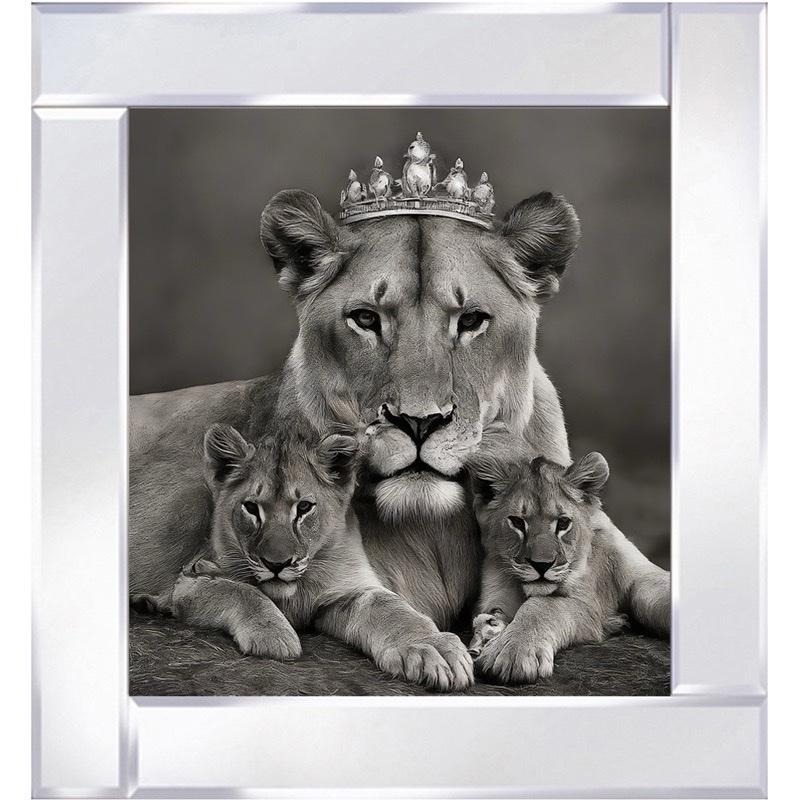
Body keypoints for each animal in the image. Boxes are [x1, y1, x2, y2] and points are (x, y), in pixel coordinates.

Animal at [133, 421, 473, 691]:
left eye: (305, 508)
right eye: (251, 508)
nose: (277, 564)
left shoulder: (349, 590)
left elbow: (392, 610)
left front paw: (434, 649)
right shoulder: (192, 581)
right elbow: (242, 591)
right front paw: (275, 637)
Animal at [466, 448, 670, 683]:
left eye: (563, 523)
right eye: (517, 522)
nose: (541, 565)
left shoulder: (589, 604)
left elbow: (543, 606)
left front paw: (513, 651)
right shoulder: (495, 594)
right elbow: (495, 612)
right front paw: (489, 633)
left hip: (646, 592)